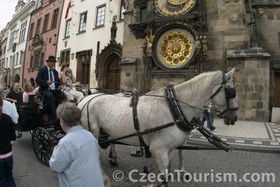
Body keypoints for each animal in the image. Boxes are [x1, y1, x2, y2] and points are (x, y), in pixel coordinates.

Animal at [77, 68, 237, 186]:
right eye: (231, 91)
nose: (234, 117)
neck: (174, 107)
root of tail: (84, 99)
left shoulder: (170, 149)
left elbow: (175, 160)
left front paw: (180, 172)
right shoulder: (158, 150)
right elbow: (164, 176)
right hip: (92, 131)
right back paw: (104, 178)